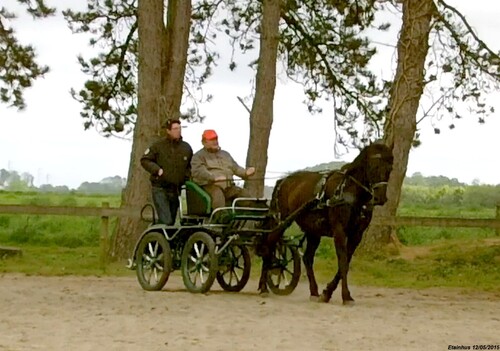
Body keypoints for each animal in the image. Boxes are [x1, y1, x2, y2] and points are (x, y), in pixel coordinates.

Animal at [258, 143, 394, 306]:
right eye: (373, 167)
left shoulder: (357, 235)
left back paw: (314, 292)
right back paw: (263, 287)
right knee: (270, 244)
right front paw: (345, 296)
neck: (349, 191)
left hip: (313, 231)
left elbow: (345, 262)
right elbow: (343, 262)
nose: (380, 198)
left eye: (390, 168)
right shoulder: (339, 231)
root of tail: (282, 181)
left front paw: (327, 293)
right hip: (282, 221)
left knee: (307, 258)